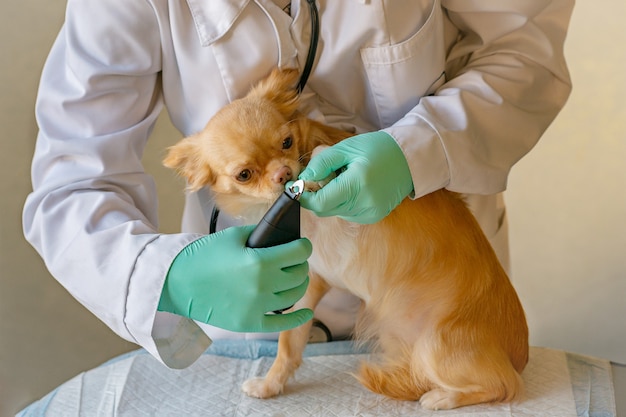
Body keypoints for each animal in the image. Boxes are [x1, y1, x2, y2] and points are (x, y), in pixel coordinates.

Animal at [162, 68, 528, 410]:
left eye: (286, 142)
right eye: (244, 175)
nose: (285, 174)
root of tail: (519, 355)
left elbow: (327, 154)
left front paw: (323, 171)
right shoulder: (305, 285)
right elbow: (289, 344)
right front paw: (271, 385)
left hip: (435, 346)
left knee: (504, 386)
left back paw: (443, 397)